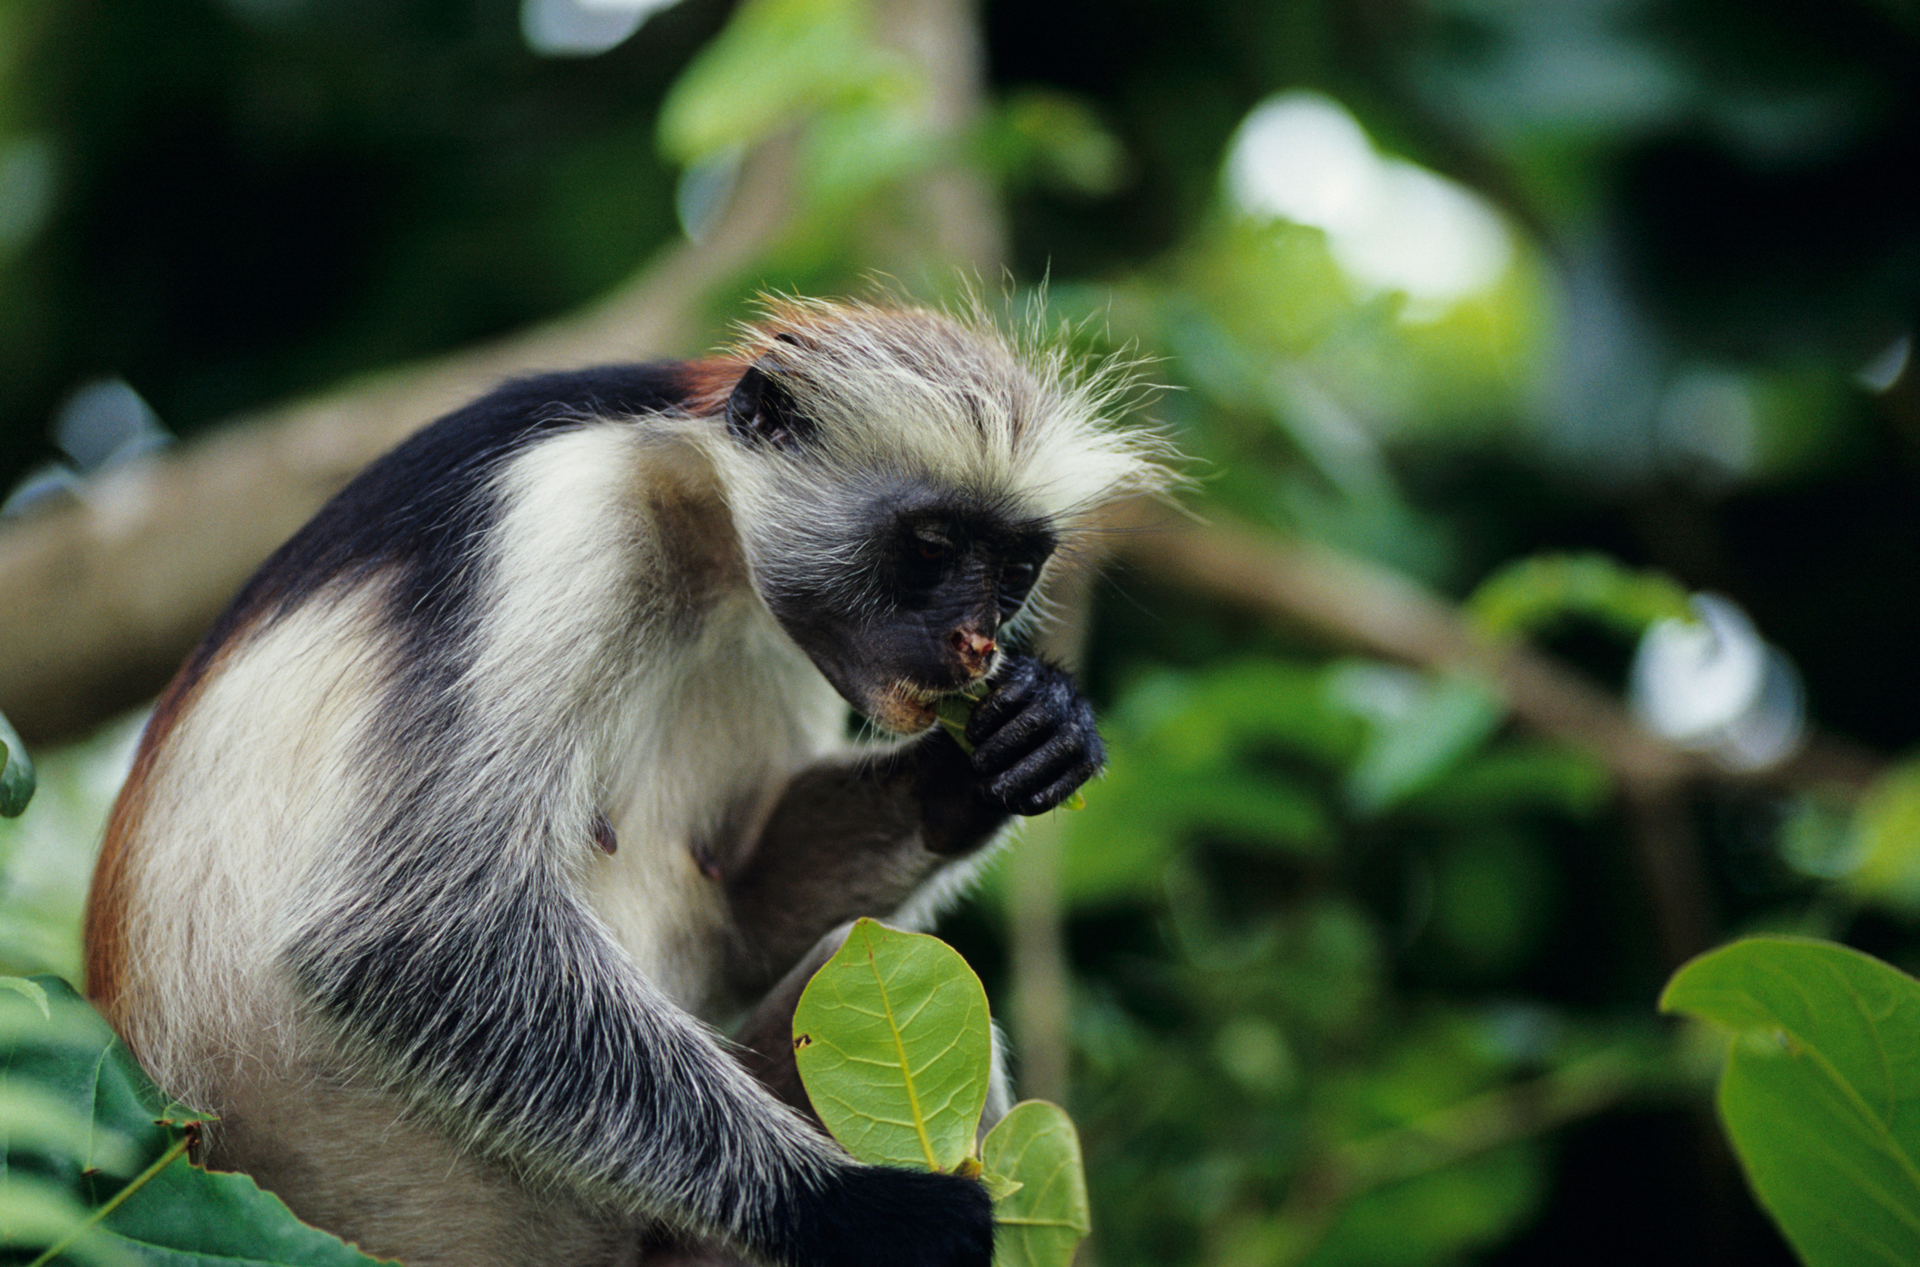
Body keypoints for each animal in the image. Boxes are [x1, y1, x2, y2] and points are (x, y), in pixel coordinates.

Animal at [82, 296, 1174, 1267]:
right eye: (932, 549)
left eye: (1015, 567)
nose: (971, 642)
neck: (694, 525)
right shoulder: (555, 519)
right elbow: (403, 935)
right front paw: (849, 1209)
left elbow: (743, 915)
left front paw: (1006, 750)